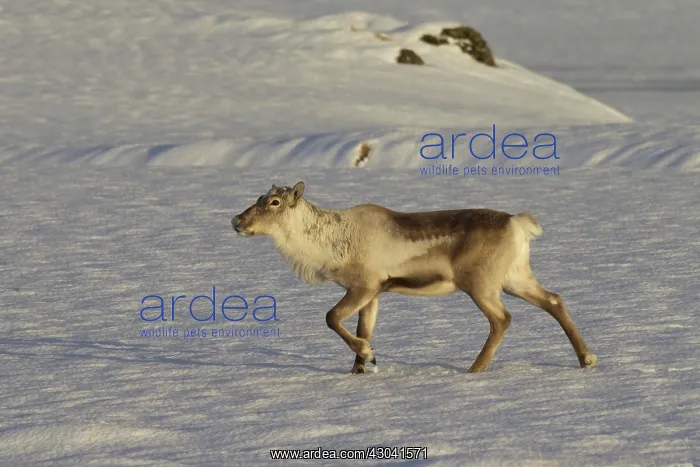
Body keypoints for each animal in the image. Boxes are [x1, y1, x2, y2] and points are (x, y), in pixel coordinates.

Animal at [232, 181, 597, 375]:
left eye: (274, 202)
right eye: (259, 198)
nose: (236, 220)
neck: (329, 244)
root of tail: (519, 224)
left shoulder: (365, 284)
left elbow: (331, 318)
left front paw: (368, 354)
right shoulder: (374, 293)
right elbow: (363, 328)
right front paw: (361, 368)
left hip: (480, 284)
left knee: (502, 319)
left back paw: (474, 369)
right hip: (515, 277)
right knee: (554, 300)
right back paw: (587, 359)